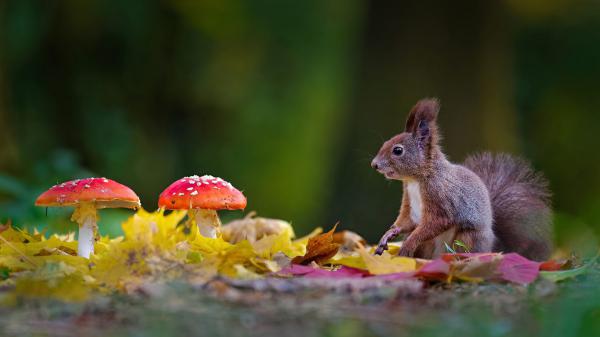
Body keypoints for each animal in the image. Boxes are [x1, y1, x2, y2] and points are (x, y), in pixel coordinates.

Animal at [370, 97, 552, 260]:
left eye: (398, 150)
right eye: (385, 143)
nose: (374, 164)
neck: (417, 179)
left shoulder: (441, 198)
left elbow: (435, 223)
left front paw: (408, 243)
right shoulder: (409, 202)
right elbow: (406, 222)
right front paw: (388, 234)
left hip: (466, 238)